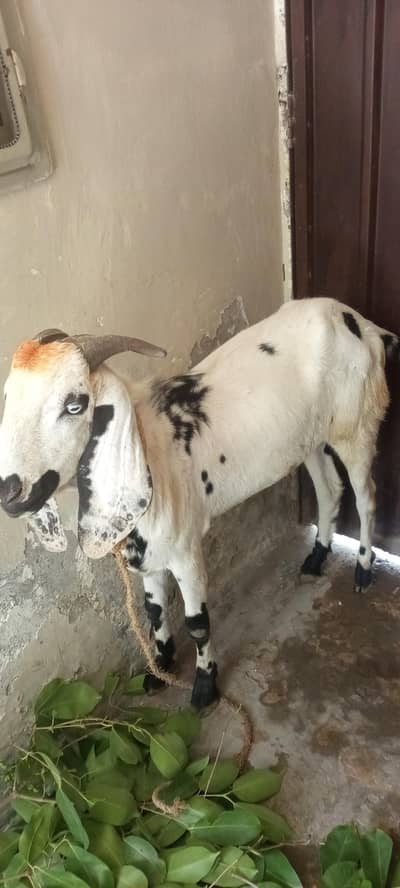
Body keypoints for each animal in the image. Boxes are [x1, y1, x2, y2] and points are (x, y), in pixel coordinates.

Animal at [0, 297, 398, 709]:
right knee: (329, 488)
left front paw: (205, 687)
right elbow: (154, 613)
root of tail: (363, 325)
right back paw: (316, 559)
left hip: (358, 426)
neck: (152, 450)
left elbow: (197, 624)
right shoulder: (150, 555)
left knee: (365, 497)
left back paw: (363, 571)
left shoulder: (185, 550)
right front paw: (160, 670)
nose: (9, 491)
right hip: (311, 437)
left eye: (75, 405)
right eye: (8, 397)